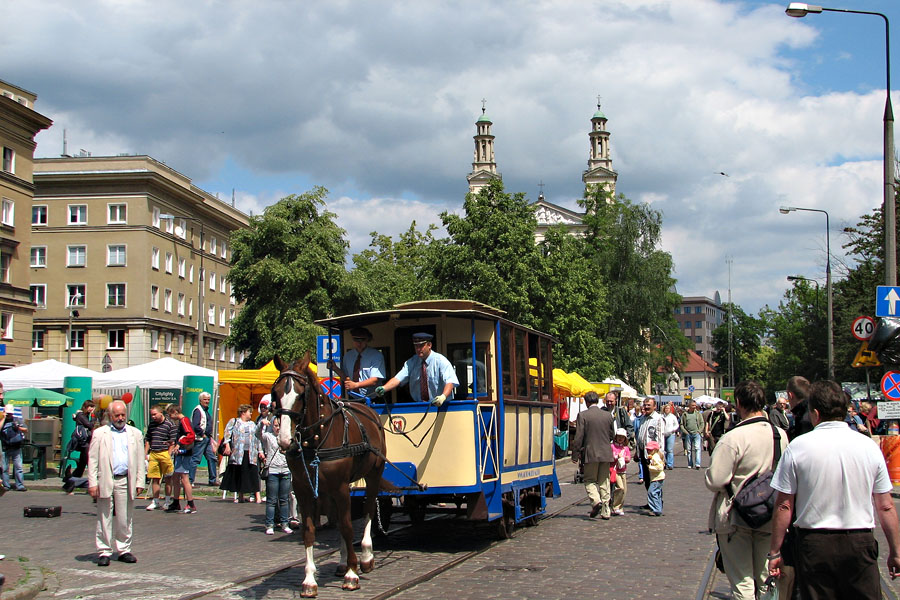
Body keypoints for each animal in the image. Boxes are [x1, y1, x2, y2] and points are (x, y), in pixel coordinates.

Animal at [272, 354, 388, 596]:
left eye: (300, 394)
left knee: (368, 510)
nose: (285, 440)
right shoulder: (304, 489)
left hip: (373, 473)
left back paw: (366, 556)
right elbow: (309, 531)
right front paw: (309, 580)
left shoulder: (341, 487)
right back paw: (342, 562)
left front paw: (352, 574)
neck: (317, 439)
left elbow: (348, 527)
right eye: (275, 393)